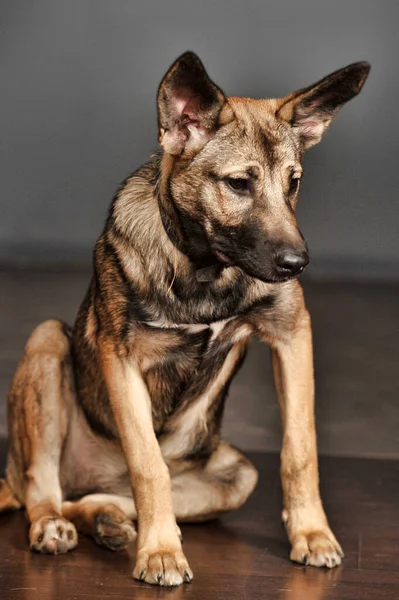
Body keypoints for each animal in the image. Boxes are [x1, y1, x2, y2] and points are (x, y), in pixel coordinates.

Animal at [0, 51, 372, 584]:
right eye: (238, 183)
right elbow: (147, 464)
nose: (297, 264)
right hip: (47, 343)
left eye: (294, 183)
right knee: (42, 488)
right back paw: (55, 523)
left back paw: (107, 520)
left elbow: (300, 450)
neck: (205, 269)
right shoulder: (121, 357)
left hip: (236, 477)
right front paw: (160, 553)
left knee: (104, 497)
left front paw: (312, 534)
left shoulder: (292, 334)